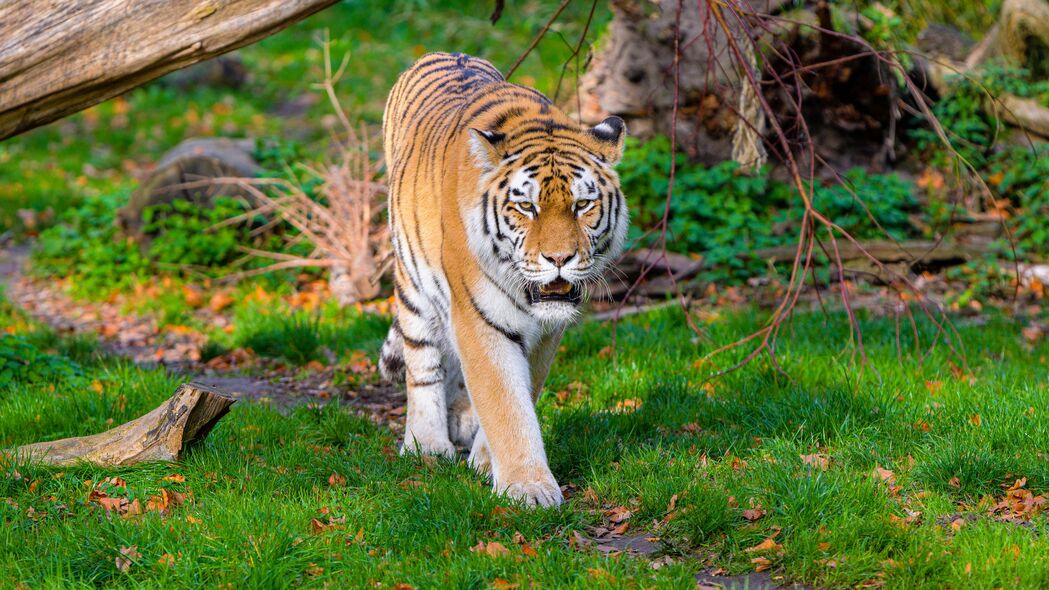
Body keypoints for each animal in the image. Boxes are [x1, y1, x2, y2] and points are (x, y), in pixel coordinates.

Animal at [377, 52, 625, 506]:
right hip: (412, 285)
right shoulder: (480, 317)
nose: (559, 258)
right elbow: (504, 402)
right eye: (526, 206)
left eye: (582, 205)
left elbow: (520, 393)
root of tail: (439, 53)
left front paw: (487, 461)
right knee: (423, 363)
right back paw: (427, 444)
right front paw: (528, 488)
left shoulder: (546, 333)